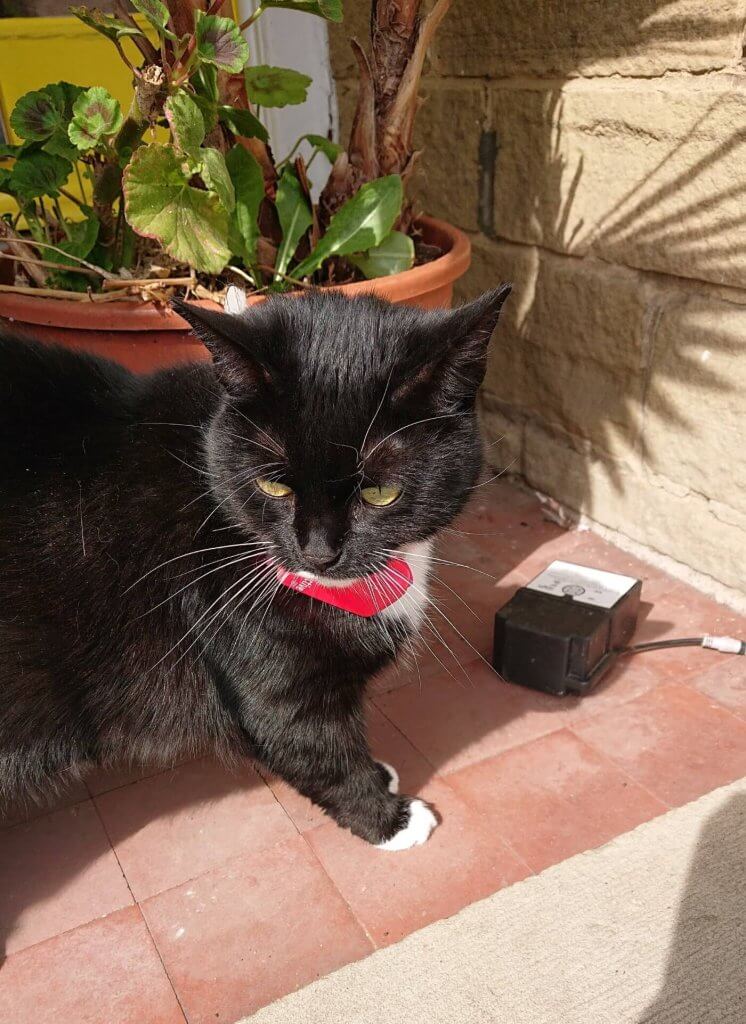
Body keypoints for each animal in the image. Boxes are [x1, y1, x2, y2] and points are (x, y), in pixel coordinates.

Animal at [0, 286, 509, 847]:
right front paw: (389, 818)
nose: (317, 552)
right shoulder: (266, 671)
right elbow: (317, 750)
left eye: (380, 492)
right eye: (274, 486)